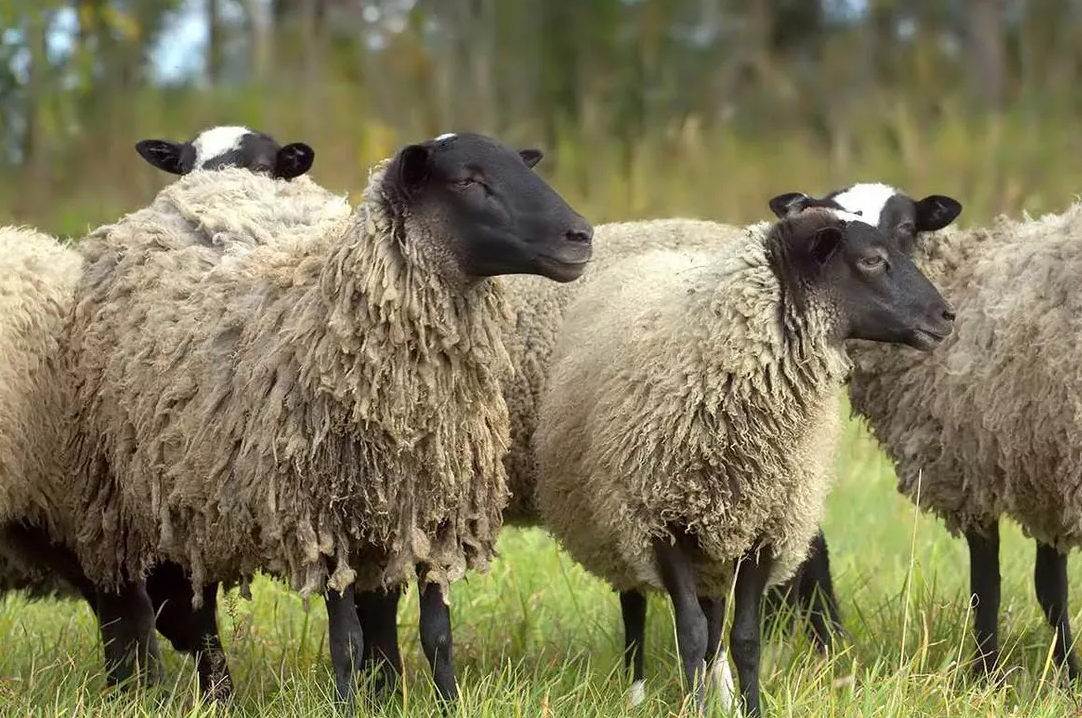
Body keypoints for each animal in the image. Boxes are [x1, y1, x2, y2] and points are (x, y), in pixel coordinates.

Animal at [528, 210, 952, 713]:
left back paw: (720, 698)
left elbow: (744, 638)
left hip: (714, 544)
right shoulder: (661, 523)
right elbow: (689, 633)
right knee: (636, 608)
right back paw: (638, 695)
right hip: (618, 524)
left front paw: (750, 708)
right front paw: (691, 711)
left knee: (714, 623)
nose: (947, 316)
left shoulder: (767, 526)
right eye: (871, 260)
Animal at [770, 180, 1082, 683]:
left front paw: (995, 673)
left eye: (905, 226)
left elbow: (1007, 586)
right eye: (834, 222)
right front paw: (1016, 673)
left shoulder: (998, 463)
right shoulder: (1028, 467)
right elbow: (1020, 586)